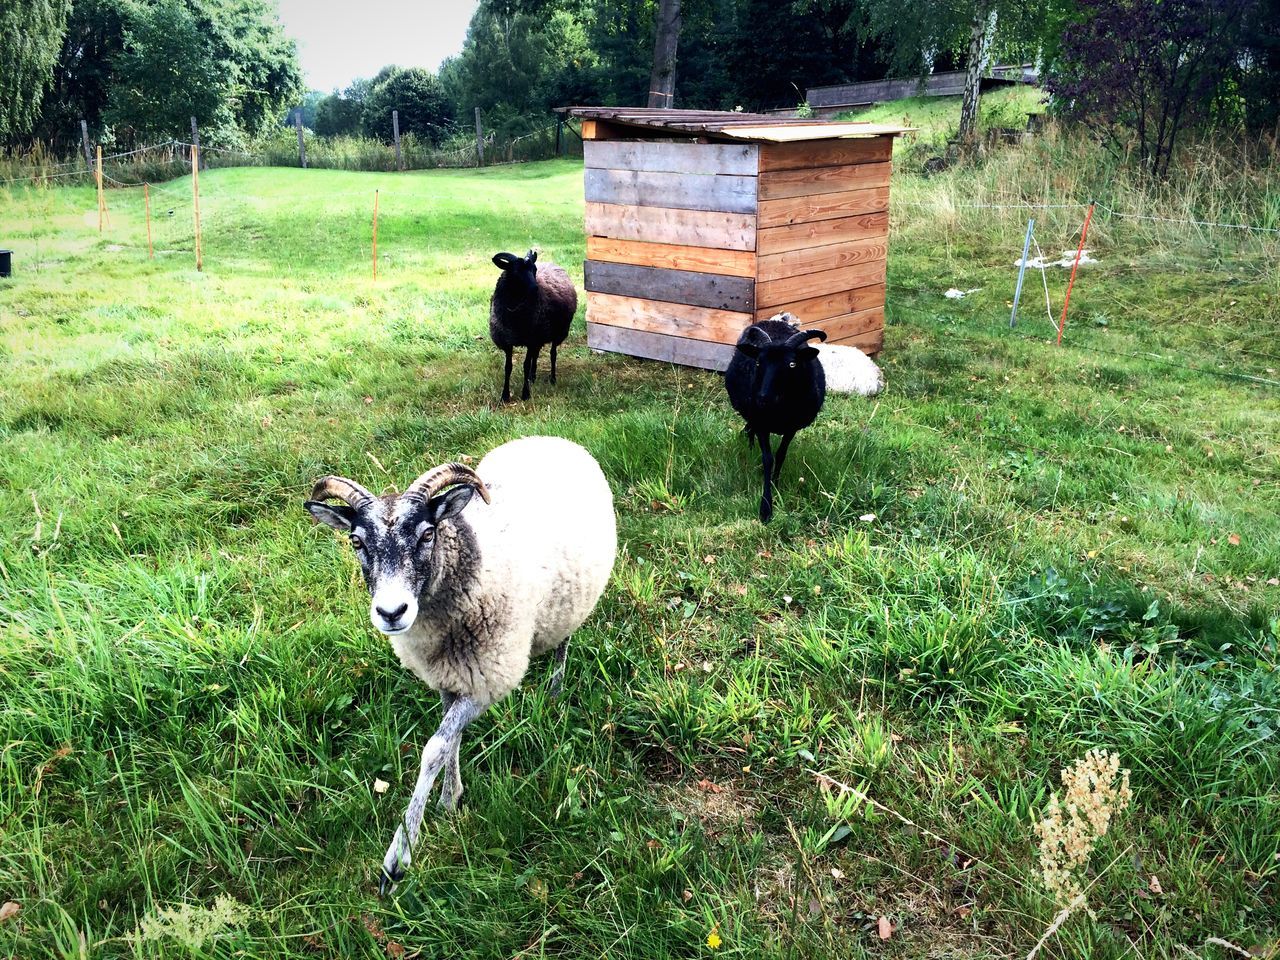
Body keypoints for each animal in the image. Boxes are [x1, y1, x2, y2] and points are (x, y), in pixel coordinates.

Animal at [304, 437, 614, 896]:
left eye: (428, 533)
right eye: (357, 541)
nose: (391, 613)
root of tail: (552, 439)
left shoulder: (487, 681)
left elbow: (434, 748)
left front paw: (397, 860)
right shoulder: (448, 679)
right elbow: (450, 741)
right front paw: (451, 799)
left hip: (573, 601)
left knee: (564, 642)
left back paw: (556, 691)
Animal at [486, 252, 578, 401]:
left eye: (534, 270)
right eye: (515, 271)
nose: (535, 288)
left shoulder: (531, 339)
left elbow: (525, 365)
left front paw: (525, 394)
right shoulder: (508, 341)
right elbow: (508, 367)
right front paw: (505, 395)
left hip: (558, 332)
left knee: (552, 354)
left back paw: (552, 379)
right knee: (536, 354)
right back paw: (532, 377)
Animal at [721, 320, 829, 522]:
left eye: (792, 364)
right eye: (758, 362)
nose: (764, 398)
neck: (779, 409)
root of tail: (773, 320)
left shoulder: (791, 428)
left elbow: (780, 455)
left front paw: (775, 485)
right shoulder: (761, 423)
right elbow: (768, 459)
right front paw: (766, 507)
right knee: (749, 430)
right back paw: (750, 448)